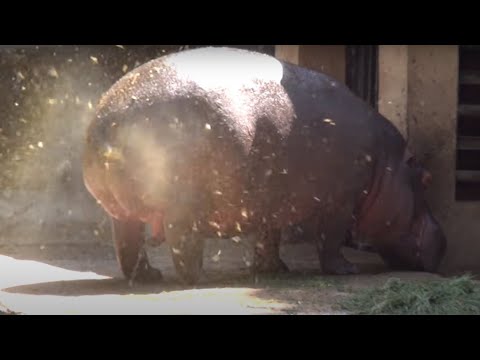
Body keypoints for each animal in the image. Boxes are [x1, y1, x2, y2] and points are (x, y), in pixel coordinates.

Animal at [82, 47, 446, 284]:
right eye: (428, 179)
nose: (443, 239)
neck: (386, 163)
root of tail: (109, 119)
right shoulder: (340, 202)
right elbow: (329, 239)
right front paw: (348, 270)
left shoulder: (272, 203)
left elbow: (268, 236)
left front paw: (273, 269)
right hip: (184, 204)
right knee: (182, 242)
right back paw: (198, 277)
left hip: (120, 211)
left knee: (128, 244)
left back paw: (148, 275)